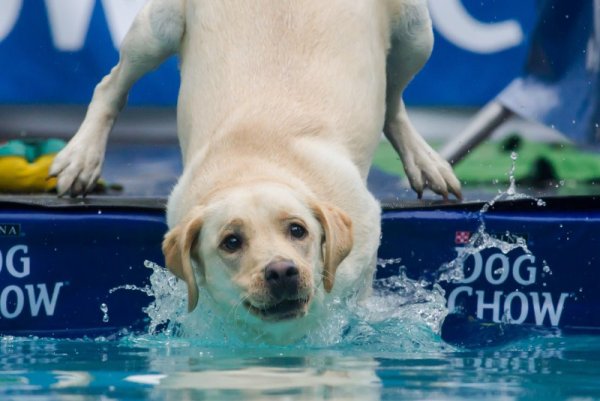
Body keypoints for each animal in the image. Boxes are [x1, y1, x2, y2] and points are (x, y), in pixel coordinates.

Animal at [50, 1, 460, 342]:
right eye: (231, 242)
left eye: (298, 230)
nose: (281, 271)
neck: (253, 165)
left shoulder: (365, 234)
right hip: (156, 30)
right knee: (110, 86)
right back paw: (81, 156)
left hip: (416, 34)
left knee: (393, 99)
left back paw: (425, 160)